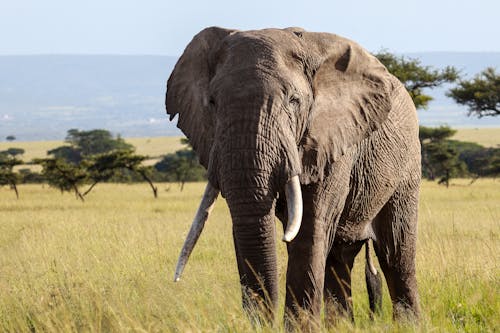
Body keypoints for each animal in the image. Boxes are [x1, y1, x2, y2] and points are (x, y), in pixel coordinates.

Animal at [166, 26, 420, 326]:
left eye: (294, 101)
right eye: (213, 102)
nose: (263, 324)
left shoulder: (332, 140)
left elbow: (308, 230)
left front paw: (299, 327)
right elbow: (244, 224)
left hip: (407, 164)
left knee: (395, 253)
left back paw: (410, 324)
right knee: (340, 256)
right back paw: (341, 325)